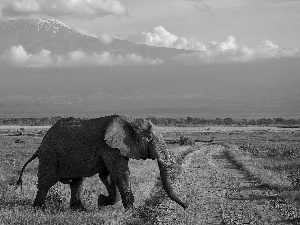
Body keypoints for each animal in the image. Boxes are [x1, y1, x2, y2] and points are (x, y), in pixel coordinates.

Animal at [17, 115, 188, 210]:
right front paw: (131, 210)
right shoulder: (109, 147)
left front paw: (102, 201)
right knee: (46, 181)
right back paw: (39, 209)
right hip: (50, 156)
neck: (129, 120)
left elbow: (107, 175)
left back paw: (80, 210)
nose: (187, 207)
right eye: (150, 138)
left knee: (77, 182)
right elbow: (120, 174)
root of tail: (39, 147)